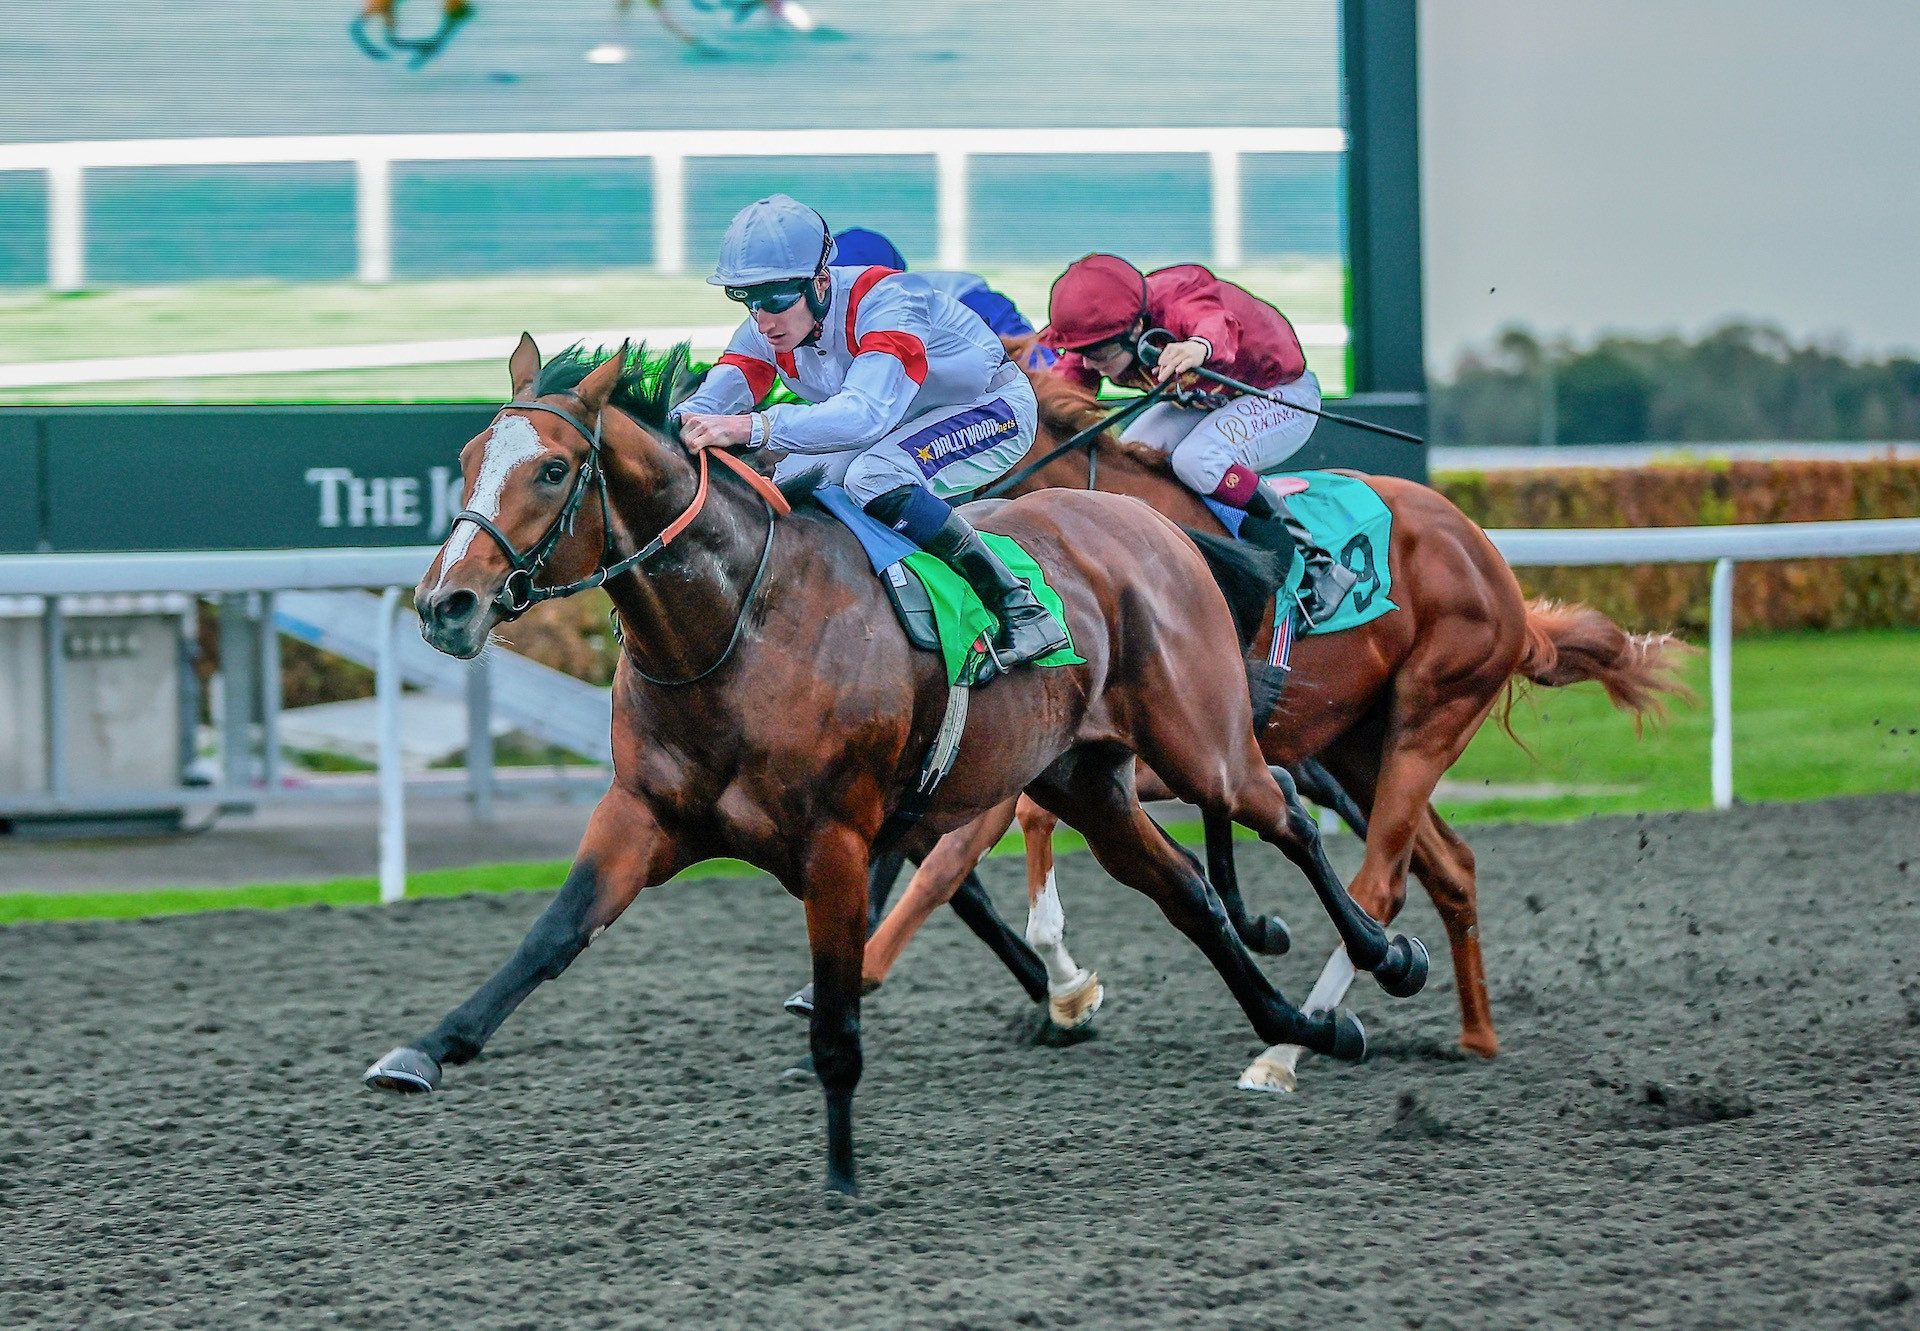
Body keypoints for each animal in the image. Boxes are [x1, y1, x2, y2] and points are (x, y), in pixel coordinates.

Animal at [360, 338, 1428, 1190]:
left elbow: (839, 1017)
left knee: (1283, 808)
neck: (740, 625)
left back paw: (1385, 956)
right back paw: (1307, 1027)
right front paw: (422, 1049)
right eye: (469, 460)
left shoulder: (837, 837)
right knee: (1191, 896)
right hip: (1084, 779)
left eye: (550, 470)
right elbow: (551, 936)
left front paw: (840, 1174)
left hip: (1200, 742)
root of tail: (1158, 527)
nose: (445, 605)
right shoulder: (645, 813)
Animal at [848, 363, 1689, 1090]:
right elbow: (973, 844)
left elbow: (985, 839)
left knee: (1382, 877)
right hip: (1361, 745)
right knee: (1448, 865)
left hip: (1431, 711)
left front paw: (1062, 983)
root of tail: (1495, 568)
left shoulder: (1178, 726)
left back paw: (1288, 1050)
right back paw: (1473, 1034)